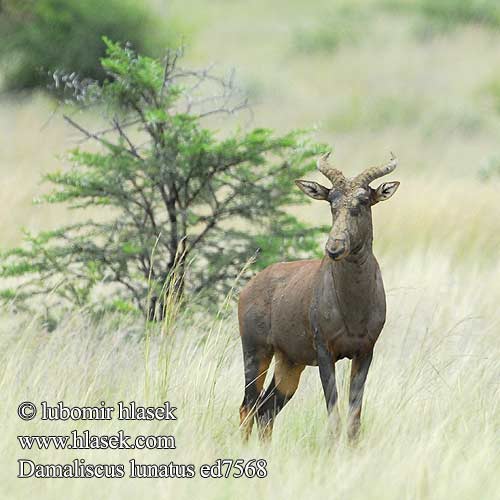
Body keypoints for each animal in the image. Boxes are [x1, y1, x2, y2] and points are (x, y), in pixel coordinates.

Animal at [237, 150, 398, 440]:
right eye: (331, 201)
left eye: (363, 200)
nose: (334, 248)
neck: (354, 305)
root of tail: (250, 286)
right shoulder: (325, 353)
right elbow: (334, 416)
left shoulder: (365, 352)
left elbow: (354, 419)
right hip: (256, 351)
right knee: (248, 407)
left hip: (289, 363)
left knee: (266, 410)